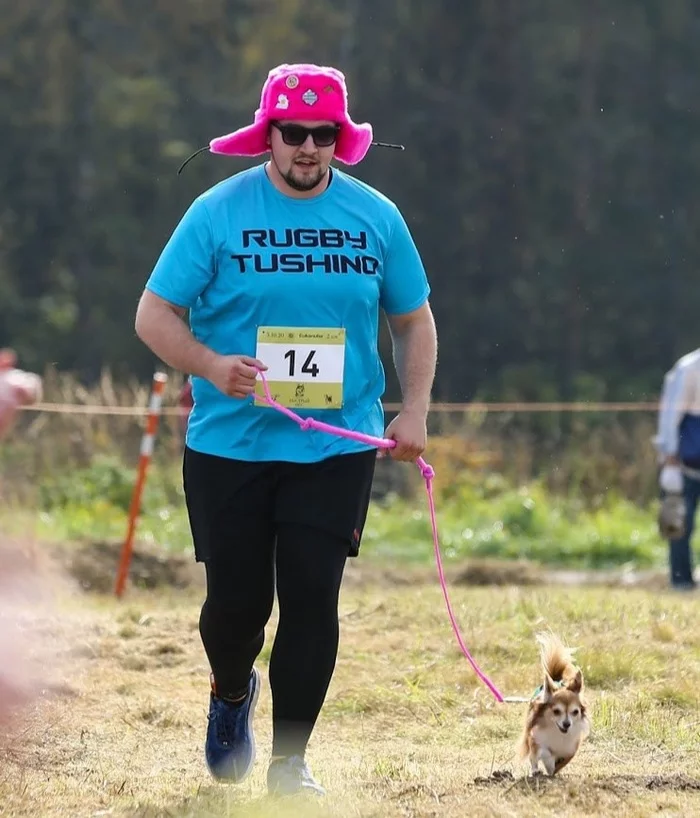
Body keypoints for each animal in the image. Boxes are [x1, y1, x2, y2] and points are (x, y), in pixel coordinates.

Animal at [516, 636, 588, 776]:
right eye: (556, 711)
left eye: (575, 712)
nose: (567, 724)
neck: (557, 731)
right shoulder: (535, 738)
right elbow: (543, 753)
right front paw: (547, 765)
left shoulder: (570, 748)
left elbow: (563, 760)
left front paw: (554, 769)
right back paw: (536, 771)